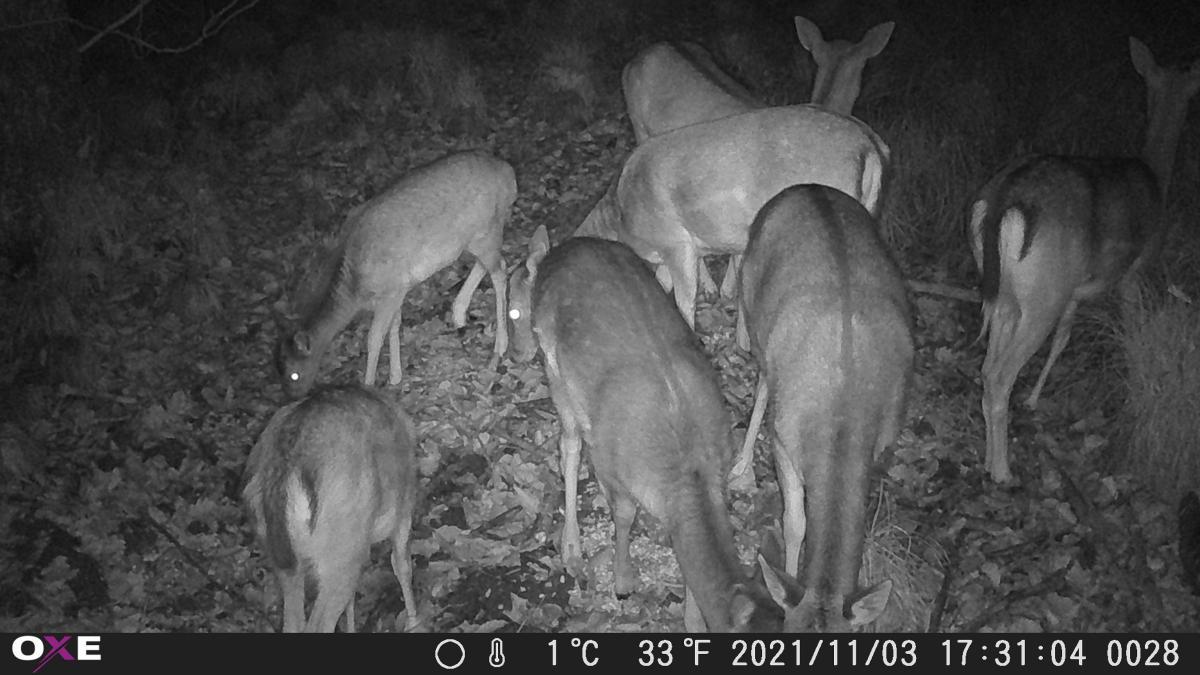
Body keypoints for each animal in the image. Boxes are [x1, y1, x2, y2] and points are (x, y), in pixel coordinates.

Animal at [242, 385, 419, 632]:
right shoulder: (405, 507)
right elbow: (402, 564)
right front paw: (415, 623)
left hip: (279, 552)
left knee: (294, 622)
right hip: (342, 545)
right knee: (318, 624)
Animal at [276, 150, 515, 398]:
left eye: (294, 374)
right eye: (279, 369)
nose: (292, 396)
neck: (355, 289)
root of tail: (509, 173)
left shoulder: (391, 289)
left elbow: (373, 337)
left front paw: (369, 385)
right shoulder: (398, 289)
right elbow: (394, 325)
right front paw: (395, 376)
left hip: (485, 230)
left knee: (500, 270)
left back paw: (500, 345)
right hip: (475, 237)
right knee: (487, 264)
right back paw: (459, 313)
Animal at [733, 184, 912, 630]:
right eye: (787, 632)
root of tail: (808, 187)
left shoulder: (885, 438)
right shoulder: (785, 438)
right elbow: (795, 522)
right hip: (753, 300)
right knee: (764, 381)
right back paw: (740, 466)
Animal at [968, 37, 1200, 482]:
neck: (1156, 178)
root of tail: (1003, 197)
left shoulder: (1074, 291)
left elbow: (1064, 338)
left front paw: (1035, 399)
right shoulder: (1136, 269)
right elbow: (1129, 324)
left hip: (1007, 291)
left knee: (988, 369)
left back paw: (990, 459)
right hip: (1042, 295)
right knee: (1001, 374)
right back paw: (1003, 471)